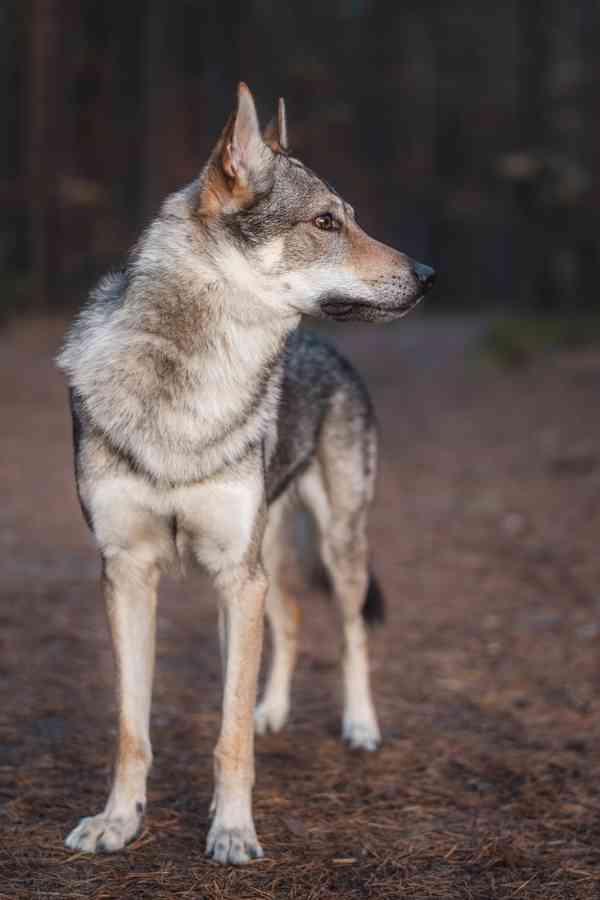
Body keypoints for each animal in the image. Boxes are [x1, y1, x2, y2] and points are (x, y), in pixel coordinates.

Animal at [57, 84, 436, 864]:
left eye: (350, 218)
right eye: (326, 221)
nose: (427, 276)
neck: (190, 387)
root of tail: (326, 347)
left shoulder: (236, 574)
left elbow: (225, 737)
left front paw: (231, 830)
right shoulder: (128, 571)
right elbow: (131, 728)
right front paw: (119, 821)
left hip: (334, 545)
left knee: (349, 630)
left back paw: (359, 726)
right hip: (265, 557)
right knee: (288, 621)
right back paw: (273, 711)